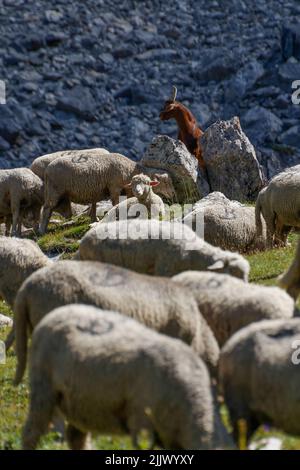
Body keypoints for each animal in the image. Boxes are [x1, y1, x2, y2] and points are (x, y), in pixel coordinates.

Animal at [22, 304, 234, 452]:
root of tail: (58, 312)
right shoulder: (141, 421)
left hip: (80, 402)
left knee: (76, 437)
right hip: (43, 387)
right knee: (31, 432)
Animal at [40, 152, 176, 233]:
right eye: (165, 182)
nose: (173, 195)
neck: (131, 170)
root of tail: (47, 170)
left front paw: (94, 218)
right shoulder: (114, 187)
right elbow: (115, 203)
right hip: (54, 190)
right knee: (47, 209)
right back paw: (42, 230)